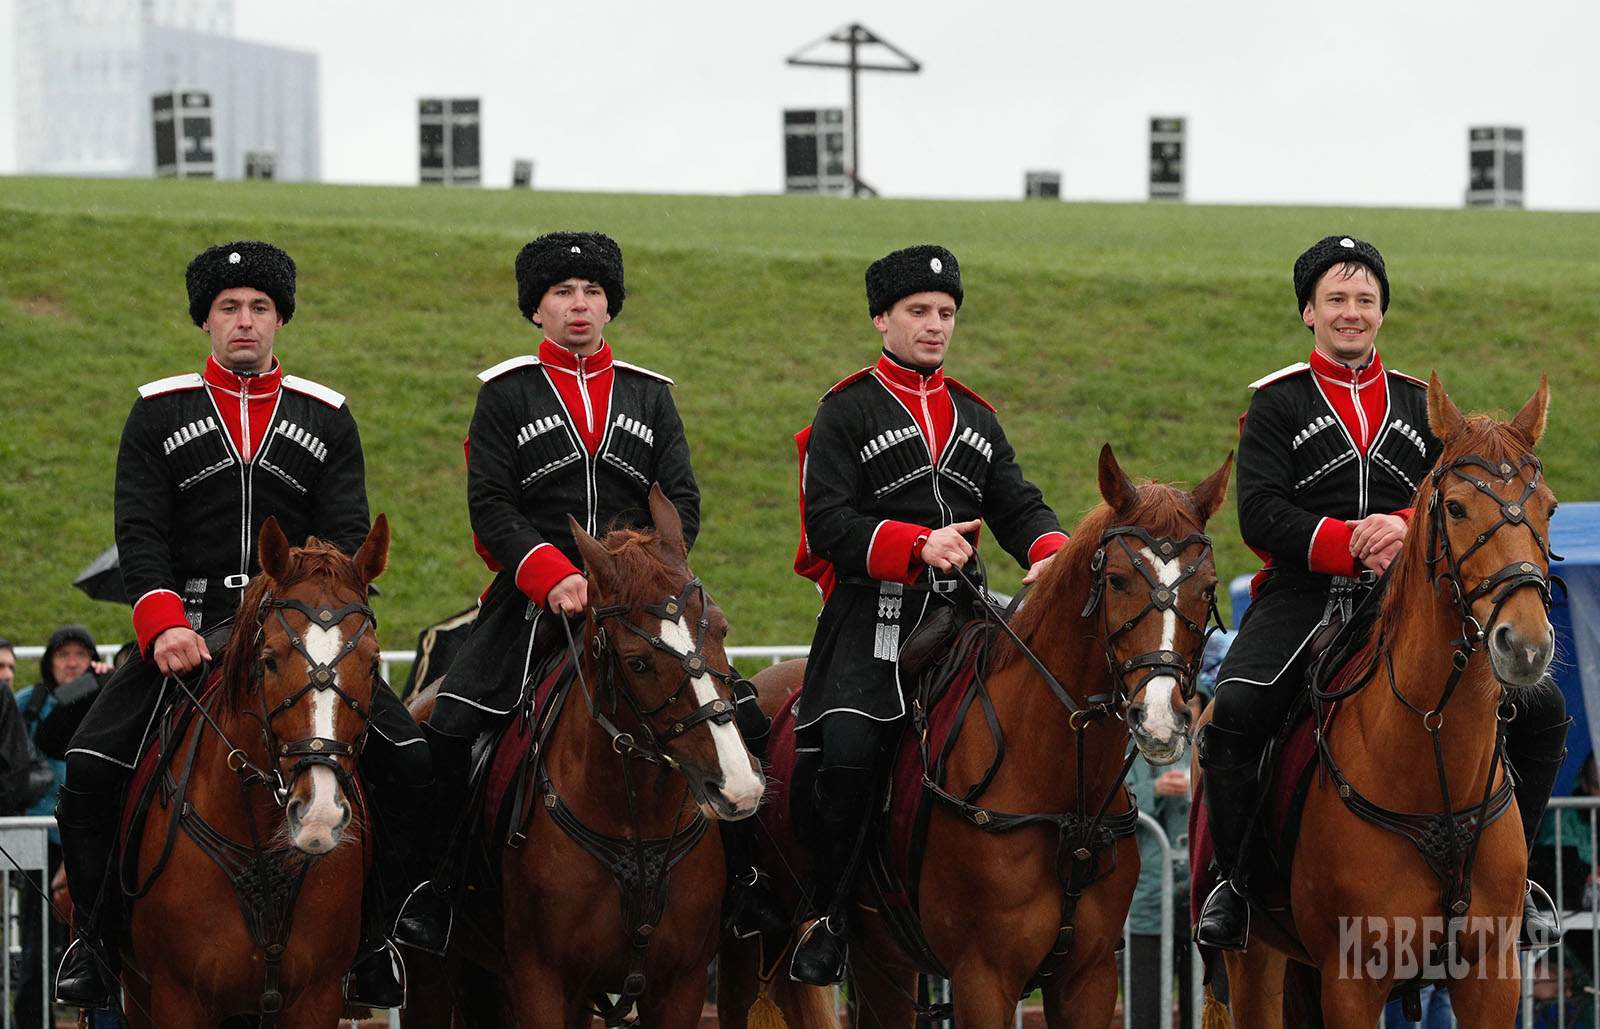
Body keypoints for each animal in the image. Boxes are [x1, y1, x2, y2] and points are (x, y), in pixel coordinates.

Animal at [409, 486, 764, 1029]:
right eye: (638, 662)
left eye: (722, 629)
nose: (736, 788)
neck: (636, 825)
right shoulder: (542, 983)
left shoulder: (679, 986)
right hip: (434, 974)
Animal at [720, 444, 1228, 1029]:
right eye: (1119, 580)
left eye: (1208, 588)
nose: (1161, 718)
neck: (1058, 787)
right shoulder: (983, 977)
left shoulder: (1089, 979)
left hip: (881, 963)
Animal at [1203, 374, 1555, 1024]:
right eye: (1455, 508)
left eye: (1550, 508)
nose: (1526, 645)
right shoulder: (1352, 978)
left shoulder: (1492, 974)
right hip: (1256, 960)